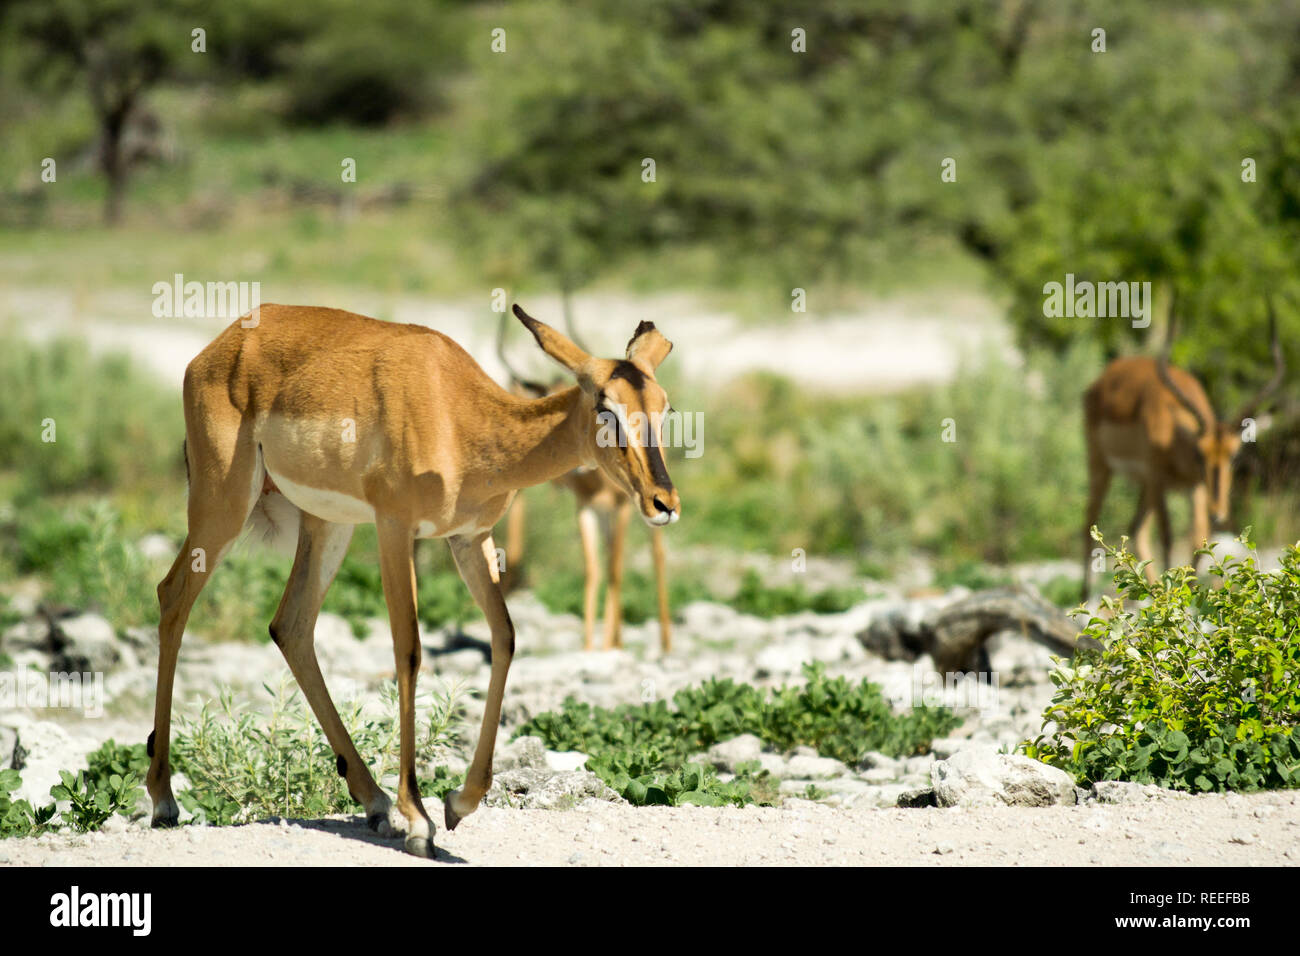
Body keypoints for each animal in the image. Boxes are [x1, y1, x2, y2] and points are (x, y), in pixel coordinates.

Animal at [488, 310, 665, 655]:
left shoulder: (624, 507)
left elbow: (615, 569)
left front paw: (607, 647)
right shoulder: (583, 508)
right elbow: (593, 571)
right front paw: (590, 647)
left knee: (653, 556)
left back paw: (664, 645)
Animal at [1081, 295, 1284, 600]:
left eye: (1234, 456)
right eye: (1199, 453)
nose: (1218, 513)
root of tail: (1101, 381)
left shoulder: (1195, 488)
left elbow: (1197, 539)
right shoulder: (1158, 478)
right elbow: (1167, 536)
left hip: (1144, 487)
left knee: (1136, 529)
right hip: (1102, 467)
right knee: (1089, 525)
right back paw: (1086, 597)